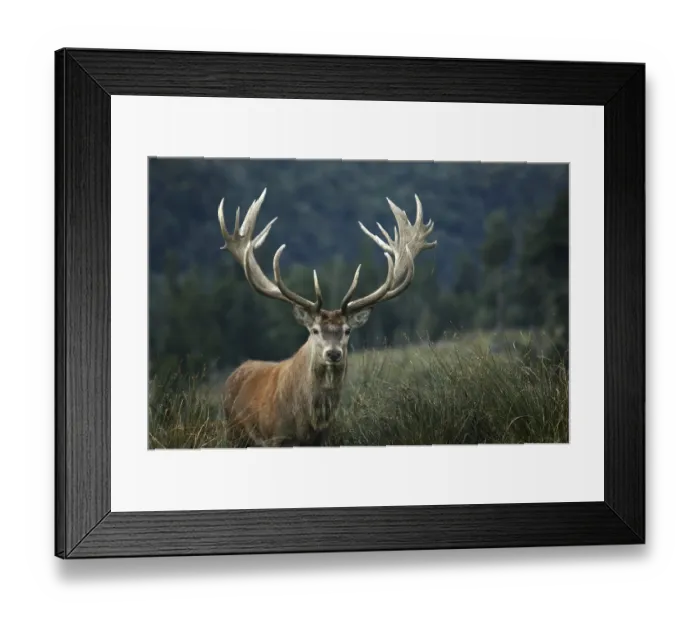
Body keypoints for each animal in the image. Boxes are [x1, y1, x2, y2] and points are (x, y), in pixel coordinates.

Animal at [216, 188, 437, 448]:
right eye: (314, 330)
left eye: (347, 330)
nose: (333, 353)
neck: (307, 425)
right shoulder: (276, 437)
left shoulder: (324, 439)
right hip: (233, 433)